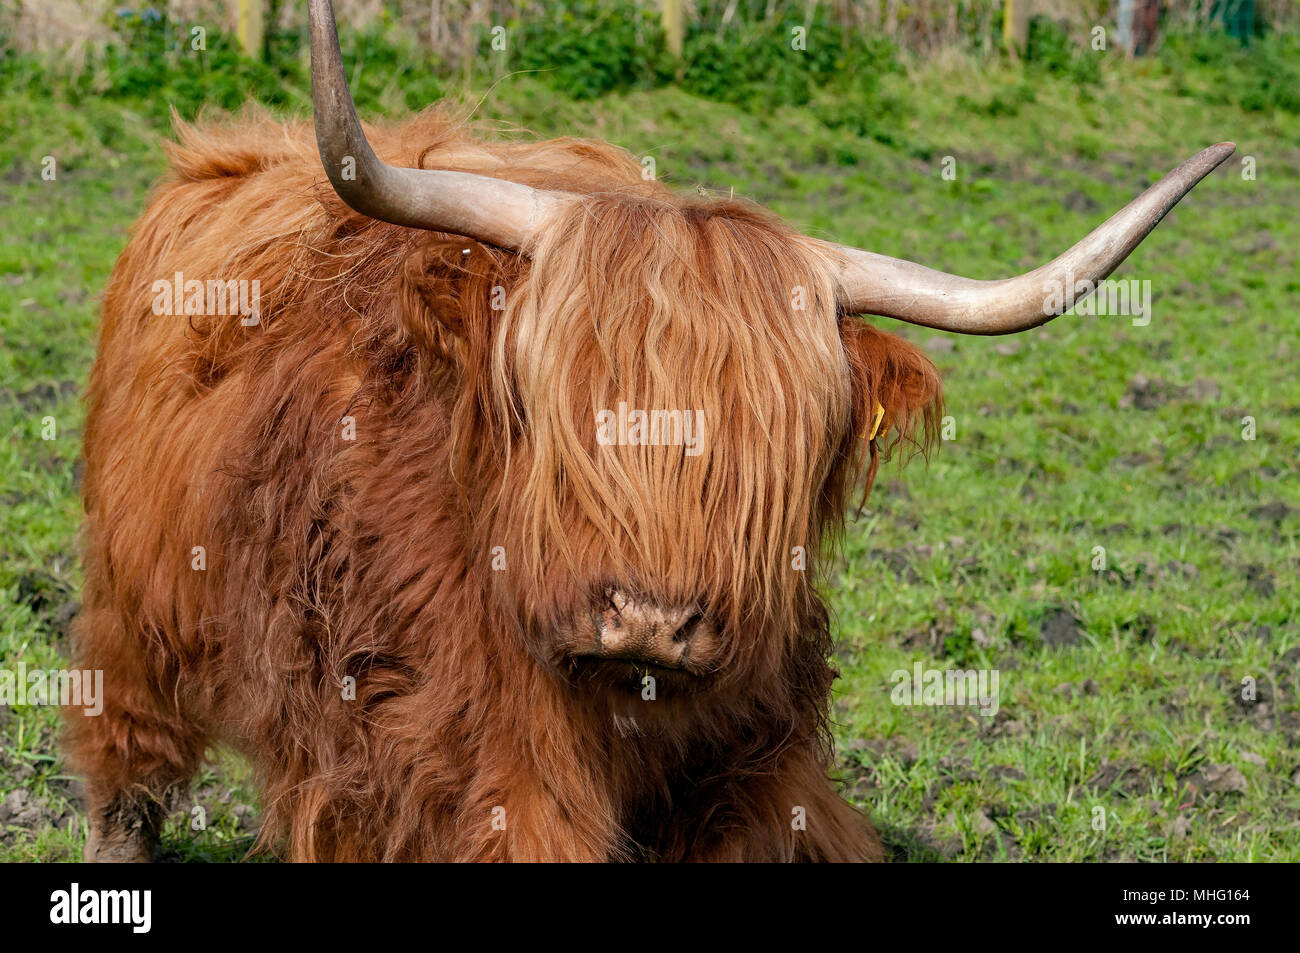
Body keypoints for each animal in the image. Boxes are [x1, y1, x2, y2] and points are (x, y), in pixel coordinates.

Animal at [68, 0, 1233, 862]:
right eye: (550, 400)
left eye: (779, 441)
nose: (649, 619)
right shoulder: (446, 766)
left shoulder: (755, 776)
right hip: (138, 609)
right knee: (126, 754)